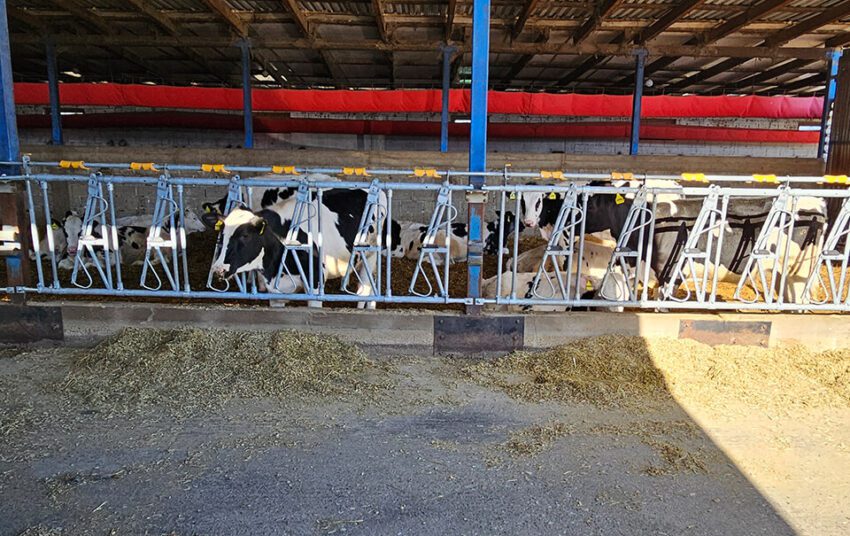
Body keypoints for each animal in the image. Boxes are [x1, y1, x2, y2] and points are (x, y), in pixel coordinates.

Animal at [206, 186, 388, 308]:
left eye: (245, 236)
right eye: (222, 236)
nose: (218, 269)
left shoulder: (315, 282)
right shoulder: (275, 291)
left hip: (370, 255)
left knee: (365, 289)